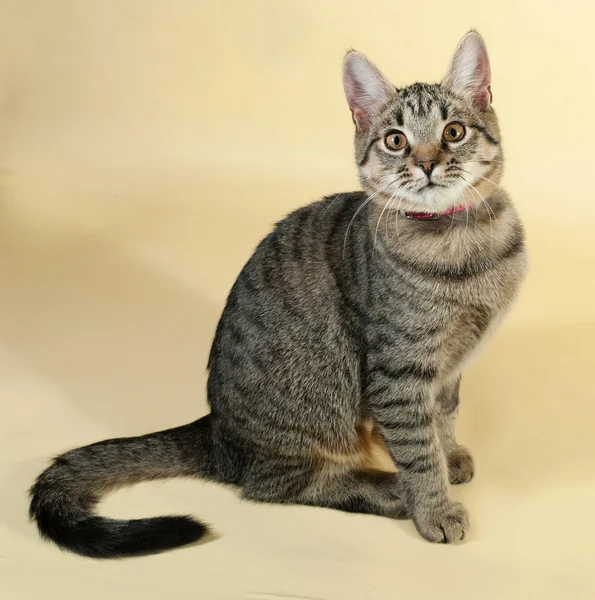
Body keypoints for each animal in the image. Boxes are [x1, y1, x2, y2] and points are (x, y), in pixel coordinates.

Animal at [31, 31, 528, 556]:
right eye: (396, 140)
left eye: (453, 132)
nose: (428, 162)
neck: (461, 245)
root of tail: (217, 431)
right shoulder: (398, 371)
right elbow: (417, 449)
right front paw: (433, 506)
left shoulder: (449, 368)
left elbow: (443, 417)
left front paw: (449, 455)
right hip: (322, 398)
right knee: (275, 485)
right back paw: (386, 489)